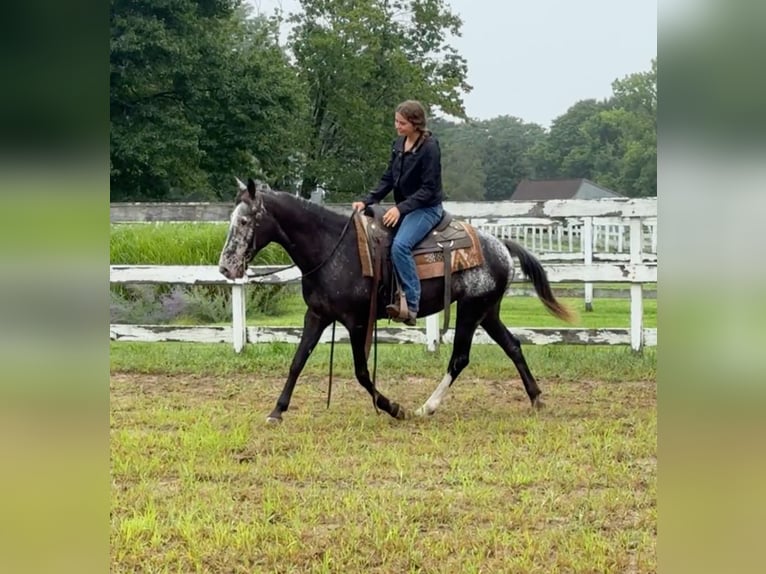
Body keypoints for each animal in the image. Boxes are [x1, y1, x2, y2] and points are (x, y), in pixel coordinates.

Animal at [219, 178, 572, 426]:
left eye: (245, 222)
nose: (225, 268)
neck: (333, 247)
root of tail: (500, 245)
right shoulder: (317, 315)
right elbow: (297, 362)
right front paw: (276, 411)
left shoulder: (357, 321)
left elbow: (362, 372)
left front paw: (393, 408)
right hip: (487, 311)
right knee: (513, 346)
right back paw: (536, 398)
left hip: (471, 310)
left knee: (459, 358)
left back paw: (426, 407)